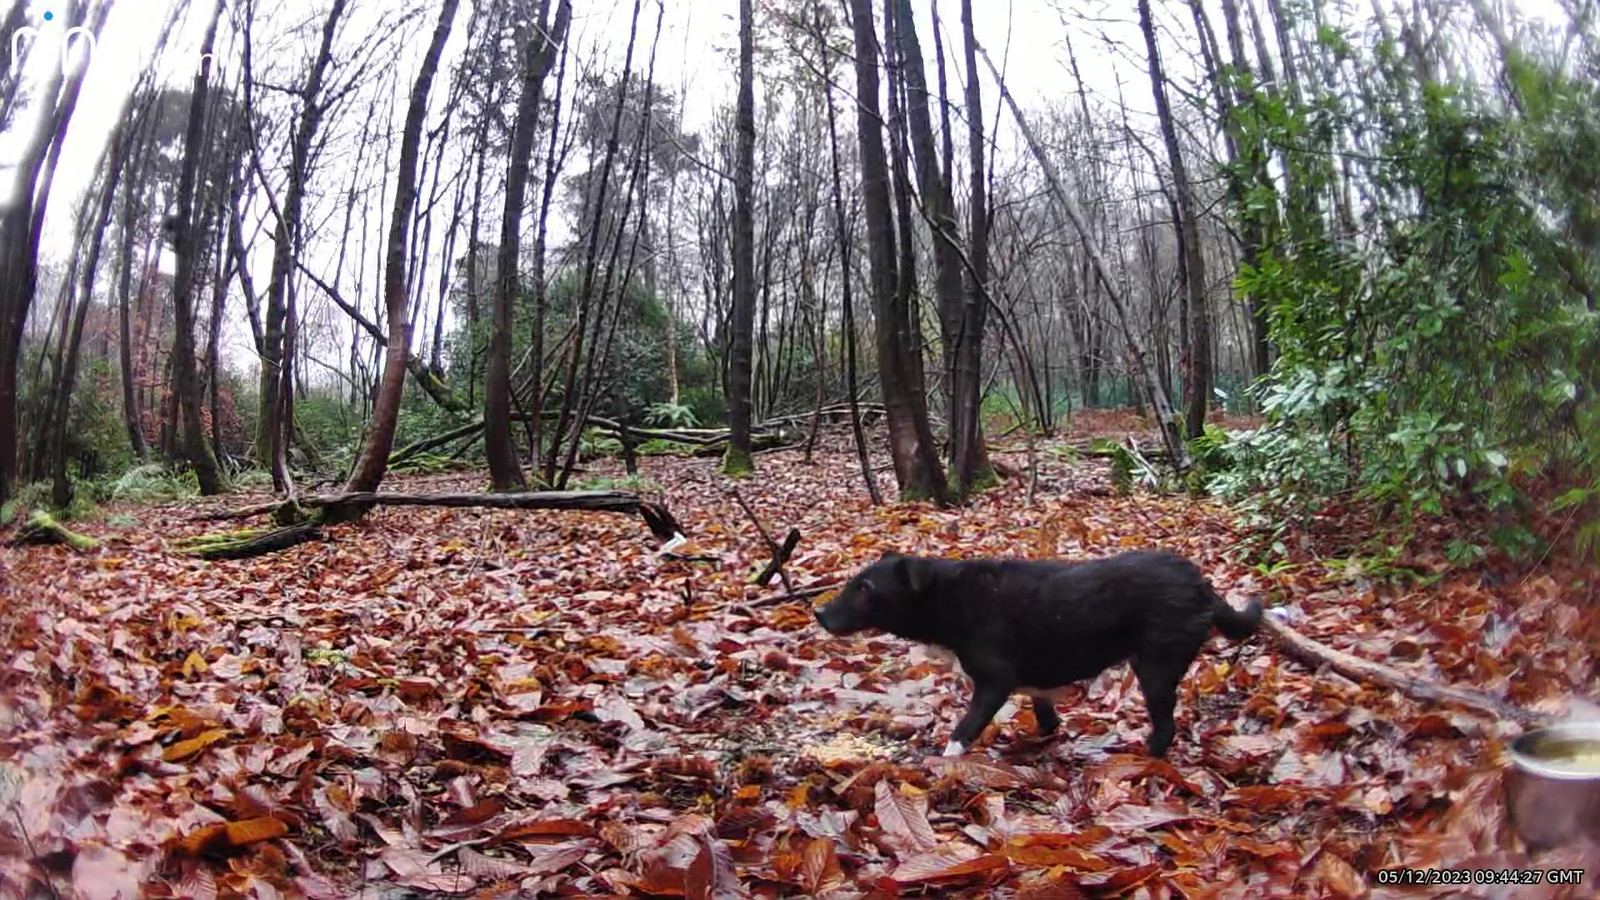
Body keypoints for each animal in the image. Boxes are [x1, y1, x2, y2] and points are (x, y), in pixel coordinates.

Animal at [812, 550, 1260, 752]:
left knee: (1165, 728)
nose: (818, 613)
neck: (950, 596)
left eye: (865, 589)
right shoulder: (1037, 689)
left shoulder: (994, 682)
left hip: (1155, 668)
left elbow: (962, 732)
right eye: (853, 582)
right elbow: (1047, 722)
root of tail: (1202, 584)